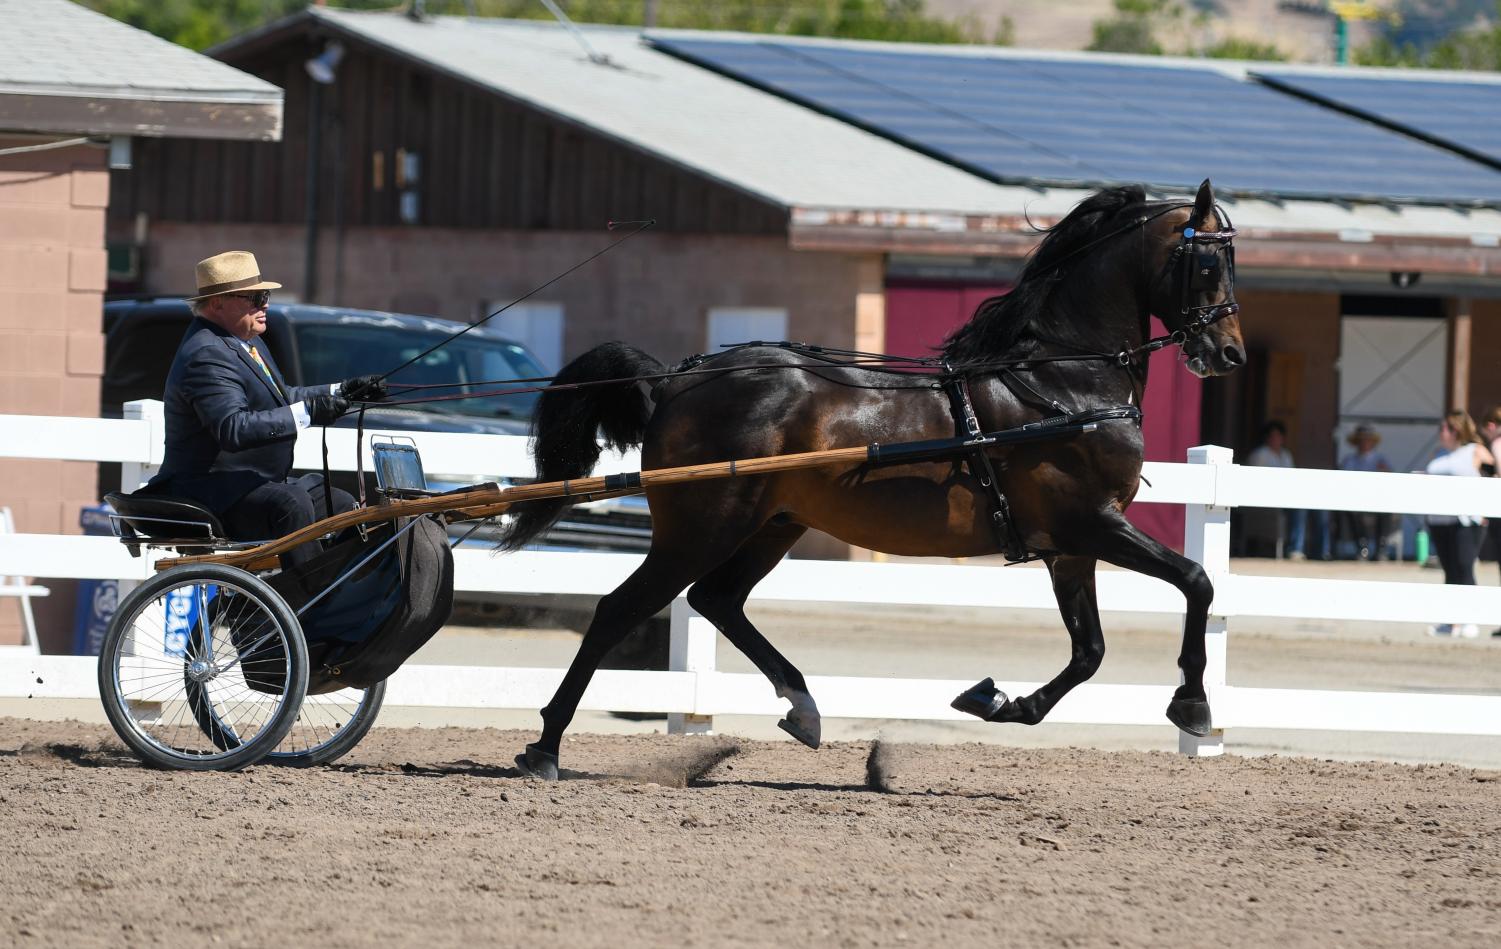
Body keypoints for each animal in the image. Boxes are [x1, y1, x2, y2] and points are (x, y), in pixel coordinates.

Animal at [504, 179, 1242, 780]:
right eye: (1209, 261)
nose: (1228, 354)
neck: (1062, 384)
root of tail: (676, 383)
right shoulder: (1091, 523)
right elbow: (1197, 581)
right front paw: (1192, 705)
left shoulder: (1069, 546)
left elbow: (1089, 650)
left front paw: (997, 699)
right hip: (700, 529)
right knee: (618, 610)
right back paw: (544, 747)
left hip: (771, 524)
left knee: (717, 600)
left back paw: (802, 706)